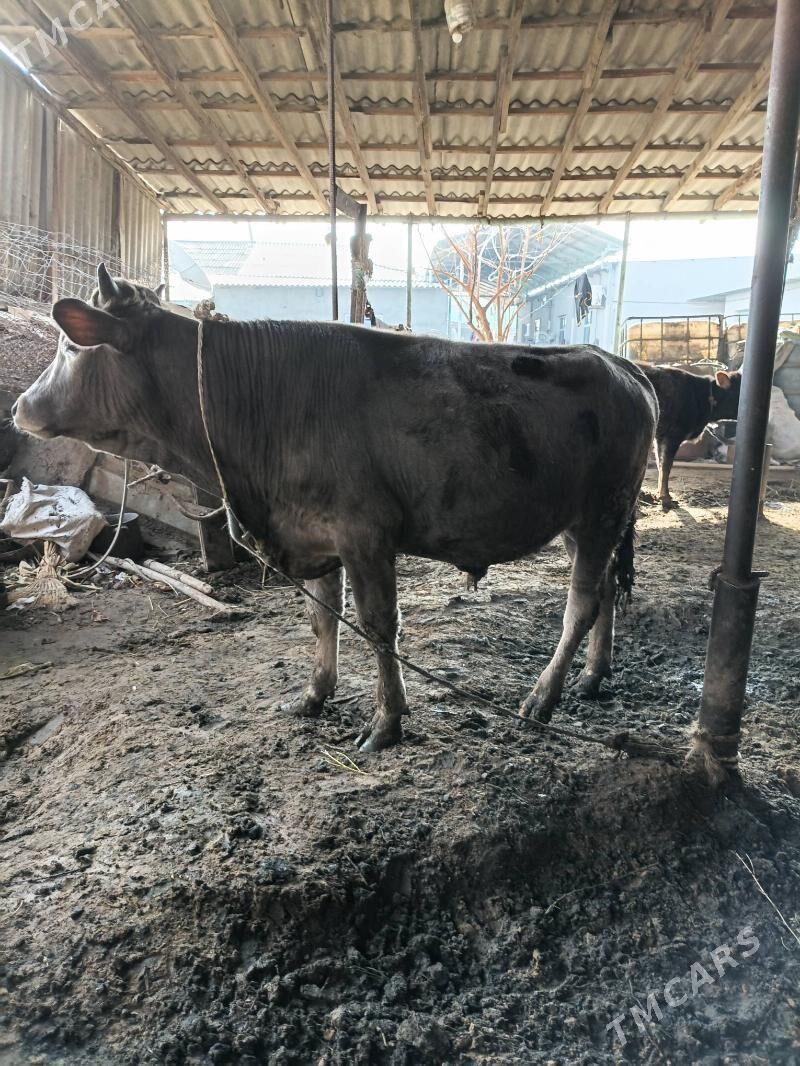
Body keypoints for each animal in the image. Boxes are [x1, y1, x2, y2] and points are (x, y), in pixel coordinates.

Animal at [13, 265, 657, 752]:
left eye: (69, 346)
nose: (19, 405)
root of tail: (620, 364)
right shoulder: (314, 533)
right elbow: (323, 619)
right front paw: (313, 696)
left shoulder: (364, 534)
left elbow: (378, 626)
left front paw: (386, 722)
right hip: (585, 521)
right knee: (604, 594)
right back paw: (592, 678)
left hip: (603, 511)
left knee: (580, 605)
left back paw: (541, 699)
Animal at [638, 364, 742, 510]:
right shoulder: (673, 436)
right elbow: (666, 467)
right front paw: (666, 499)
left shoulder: (660, 437)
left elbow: (660, 464)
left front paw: (660, 494)